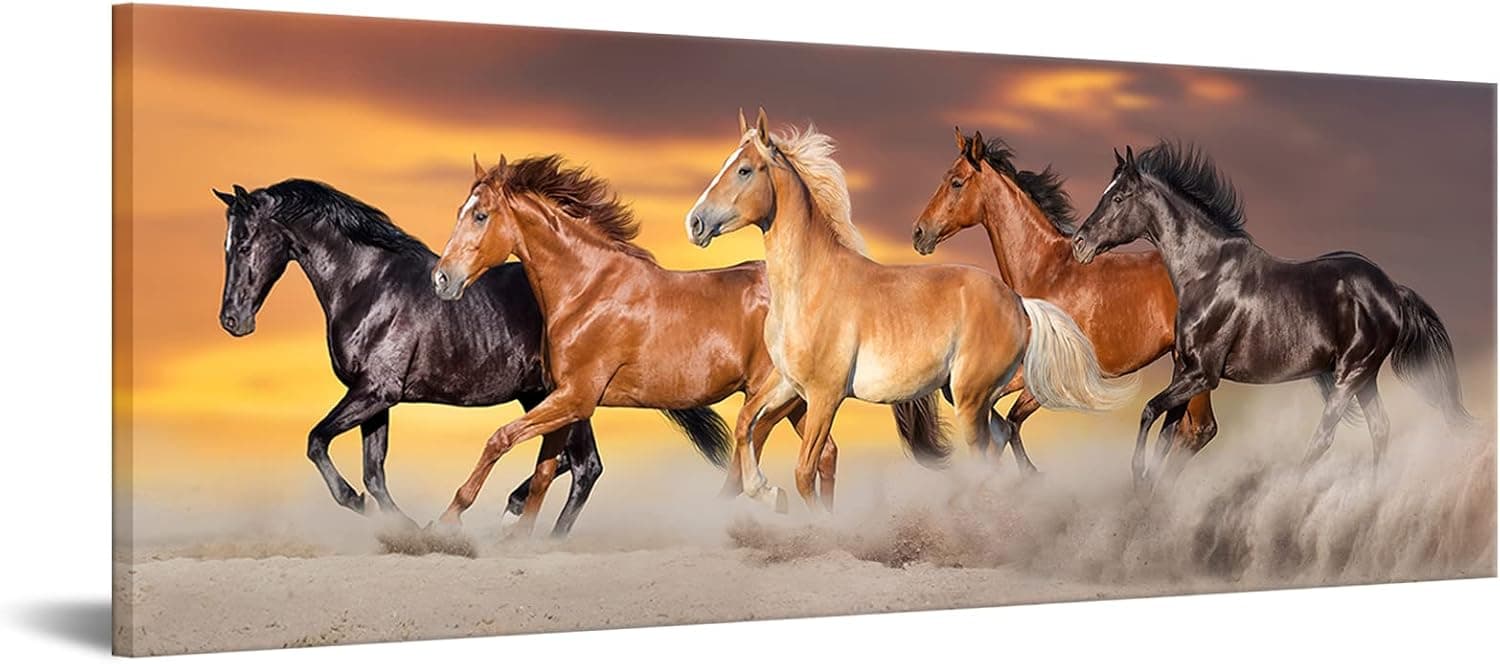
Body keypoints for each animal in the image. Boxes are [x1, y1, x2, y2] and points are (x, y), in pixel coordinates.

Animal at [214, 180, 728, 536]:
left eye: (244, 244)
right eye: (226, 246)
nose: (232, 320)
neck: (368, 284)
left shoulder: (373, 392)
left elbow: (317, 441)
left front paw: (364, 506)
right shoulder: (376, 399)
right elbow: (374, 472)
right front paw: (406, 528)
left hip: (565, 396)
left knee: (585, 467)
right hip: (542, 396)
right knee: (573, 462)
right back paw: (515, 513)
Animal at [429, 154, 946, 523]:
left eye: (480, 215)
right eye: (460, 211)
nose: (442, 279)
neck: (588, 288)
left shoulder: (575, 398)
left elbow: (500, 440)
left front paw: (449, 518)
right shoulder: (564, 400)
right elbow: (540, 475)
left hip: (773, 397)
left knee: (751, 459)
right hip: (799, 400)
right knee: (824, 455)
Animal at [685, 109, 1134, 508]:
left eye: (745, 170)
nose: (695, 223)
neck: (810, 284)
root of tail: (1020, 302)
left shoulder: (825, 395)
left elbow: (804, 472)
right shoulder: (786, 383)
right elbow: (746, 424)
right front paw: (766, 492)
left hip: (970, 399)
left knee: (985, 458)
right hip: (972, 396)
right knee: (1000, 441)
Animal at [912, 128, 1216, 473]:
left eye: (956, 182)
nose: (919, 233)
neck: (1046, 270)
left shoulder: (1047, 377)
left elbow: (1009, 423)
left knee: (1200, 429)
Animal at [1070, 142, 1472, 483]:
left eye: (1118, 197)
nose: (1079, 243)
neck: (1206, 272)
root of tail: (1391, 289)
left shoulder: (1203, 375)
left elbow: (1149, 411)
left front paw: (1138, 475)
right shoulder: (1184, 370)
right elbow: (1165, 434)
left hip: (1350, 374)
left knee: (1323, 440)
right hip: (1365, 378)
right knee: (1380, 429)